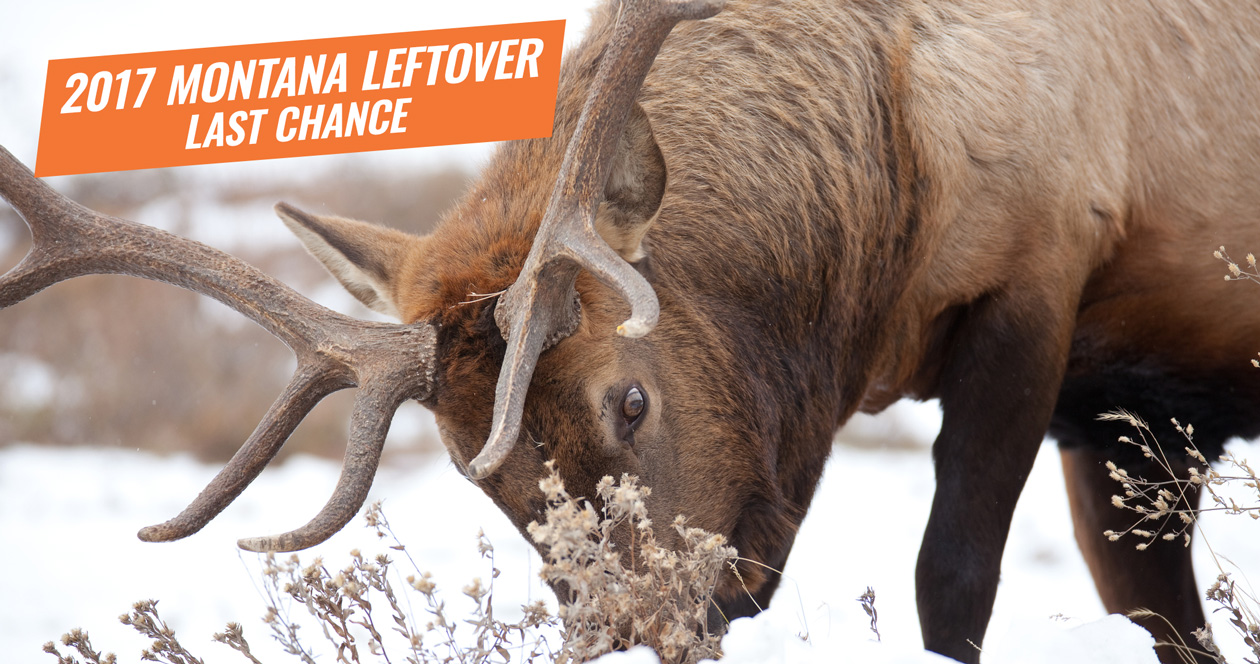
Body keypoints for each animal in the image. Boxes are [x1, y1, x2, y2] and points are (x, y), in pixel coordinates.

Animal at [3, 0, 1260, 662]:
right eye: (472, 469)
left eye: (633, 395)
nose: (630, 629)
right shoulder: (1122, 404)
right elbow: (1158, 611)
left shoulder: (1039, 280)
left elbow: (950, 586)